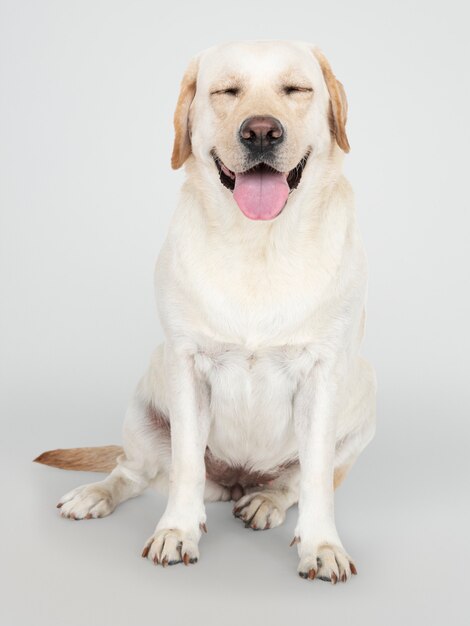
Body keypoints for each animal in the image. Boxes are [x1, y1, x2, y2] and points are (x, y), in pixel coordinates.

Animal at [35, 41, 376, 584]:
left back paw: (264, 501)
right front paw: (177, 531)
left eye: (296, 89)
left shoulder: (323, 374)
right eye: (226, 91)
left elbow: (316, 478)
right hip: (144, 402)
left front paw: (322, 546)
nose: (261, 132)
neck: (258, 244)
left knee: (293, 482)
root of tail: (237, 481)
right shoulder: (187, 365)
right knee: (134, 470)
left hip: (363, 399)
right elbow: (186, 468)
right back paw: (95, 495)